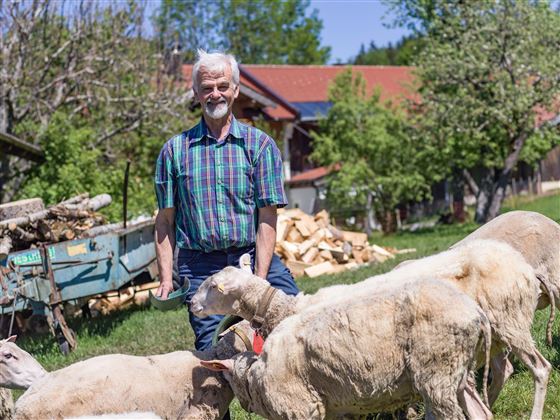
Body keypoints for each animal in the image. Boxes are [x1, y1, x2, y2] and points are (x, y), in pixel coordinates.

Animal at [201, 278, 490, 420]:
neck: (256, 375)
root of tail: (475, 312)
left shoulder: (301, 409)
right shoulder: (338, 410)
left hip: (437, 371)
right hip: (459, 373)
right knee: (481, 414)